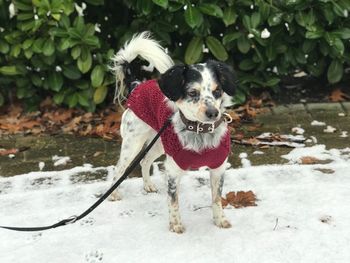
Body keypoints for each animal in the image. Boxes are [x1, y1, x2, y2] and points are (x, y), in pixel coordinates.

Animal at [108, 32, 237, 234]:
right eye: (192, 93)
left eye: (217, 91)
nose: (213, 113)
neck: (199, 132)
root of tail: (137, 85)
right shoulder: (173, 170)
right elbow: (173, 201)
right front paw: (175, 224)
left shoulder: (218, 168)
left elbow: (216, 199)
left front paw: (219, 220)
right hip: (133, 144)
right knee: (119, 168)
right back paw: (113, 193)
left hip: (159, 144)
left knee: (145, 161)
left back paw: (148, 185)